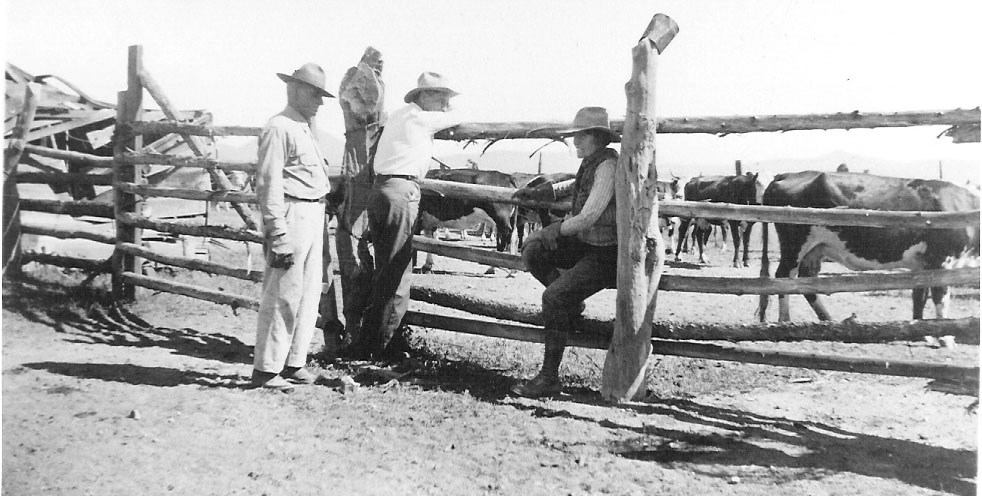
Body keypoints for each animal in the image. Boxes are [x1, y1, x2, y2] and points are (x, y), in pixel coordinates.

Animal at [764, 170, 980, 322]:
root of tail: (786, 175)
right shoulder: (941, 259)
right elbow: (940, 297)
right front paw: (944, 338)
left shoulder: (923, 265)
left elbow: (919, 297)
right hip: (795, 245)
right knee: (784, 276)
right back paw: (785, 320)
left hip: (816, 248)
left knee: (807, 280)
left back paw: (828, 319)